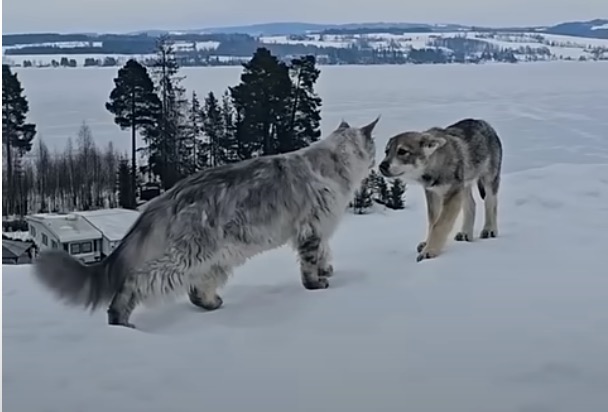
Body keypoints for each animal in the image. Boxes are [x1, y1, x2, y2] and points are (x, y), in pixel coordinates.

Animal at [32, 117, 380, 330]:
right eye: (374, 147)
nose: (377, 162)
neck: (334, 164)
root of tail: (171, 193)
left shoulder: (320, 229)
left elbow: (324, 254)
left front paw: (327, 270)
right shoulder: (312, 226)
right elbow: (310, 262)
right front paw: (318, 284)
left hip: (219, 254)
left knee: (196, 289)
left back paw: (212, 304)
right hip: (192, 253)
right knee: (139, 279)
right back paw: (120, 321)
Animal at [380, 117, 504, 262]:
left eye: (402, 151)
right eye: (386, 152)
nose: (382, 166)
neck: (436, 165)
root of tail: (485, 123)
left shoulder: (452, 194)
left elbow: (439, 225)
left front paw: (429, 251)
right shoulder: (433, 193)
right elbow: (432, 222)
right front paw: (427, 244)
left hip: (488, 180)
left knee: (491, 203)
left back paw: (489, 230)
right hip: (464, 186)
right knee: (472, 205)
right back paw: (465, 233)